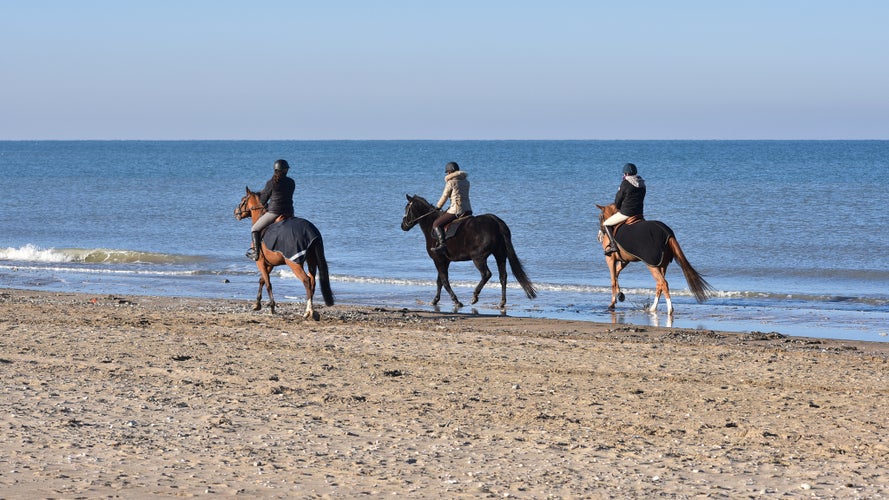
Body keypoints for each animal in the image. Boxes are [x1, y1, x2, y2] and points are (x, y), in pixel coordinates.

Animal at [236, 188, 332, 320]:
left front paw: (272, 307)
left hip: (294, 263)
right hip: (311, 260)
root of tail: (311, 231)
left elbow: (268, 283)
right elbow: (262, 280)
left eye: (243, 200)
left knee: (306, 281)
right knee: (312, 282)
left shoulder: (260, 262)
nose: (235, 212)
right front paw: (257, 304)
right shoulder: (270, 263)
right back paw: (313, 311)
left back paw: (308, 312)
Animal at [400, 194, 536, 308]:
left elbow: (444, 281)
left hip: (478, 257)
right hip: (500, 255)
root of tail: (496, 222)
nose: (403, 226)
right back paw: (502, 302)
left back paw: (475, 296)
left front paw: (456, 301)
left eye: (407, 209)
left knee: (486, 274)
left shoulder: (438, 260)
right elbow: (440, 281)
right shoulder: (444, 261)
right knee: (503, 276)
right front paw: (435, 300)